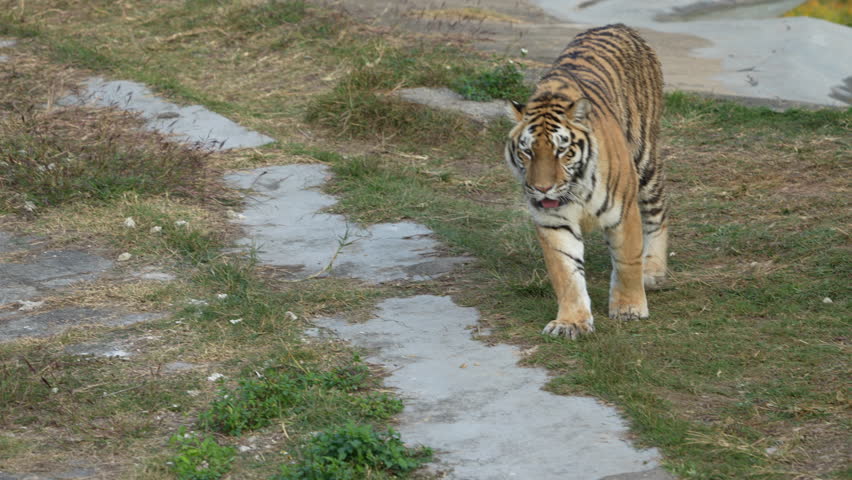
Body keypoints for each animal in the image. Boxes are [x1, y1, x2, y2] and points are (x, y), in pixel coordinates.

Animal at [505, 24, 668, 339]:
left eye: (562, 151)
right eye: (527, 152)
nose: (542, 188)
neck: (575, 189)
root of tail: (619, 25)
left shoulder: (623, 212)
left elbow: (627, 261)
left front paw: (629, 308)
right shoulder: (553, 221)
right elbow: (566, 274)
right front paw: (571, 322)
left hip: (645, 161)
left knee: (659, 211)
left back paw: (653, 270)